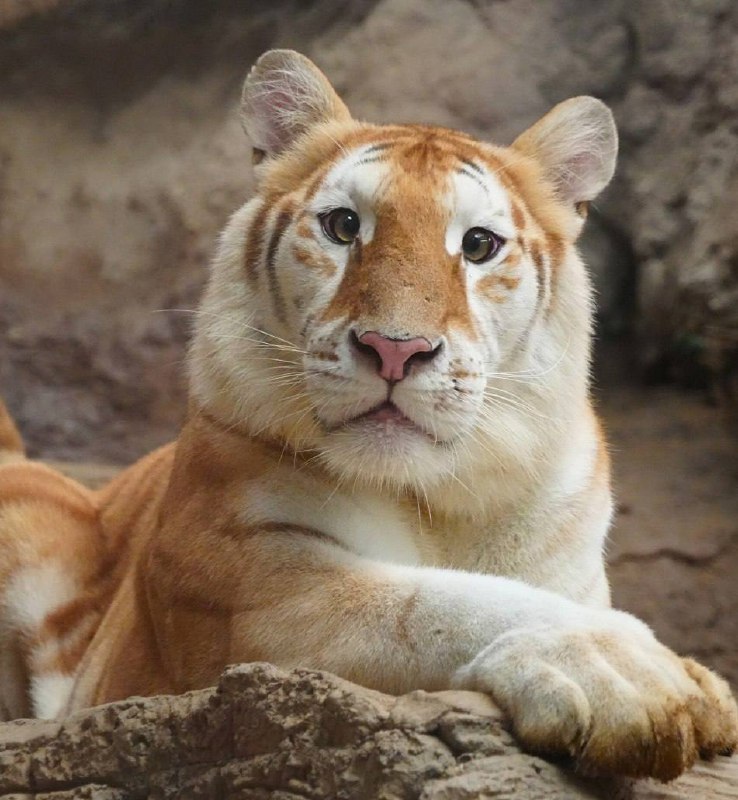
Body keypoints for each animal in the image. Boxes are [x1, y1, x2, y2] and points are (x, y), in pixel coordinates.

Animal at [0, 50, 732, 780]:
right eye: (345, 226)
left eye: (478, 245)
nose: (395, 349)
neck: (440, 500)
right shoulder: (248, 586)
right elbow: (433, 602)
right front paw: (631, 675)